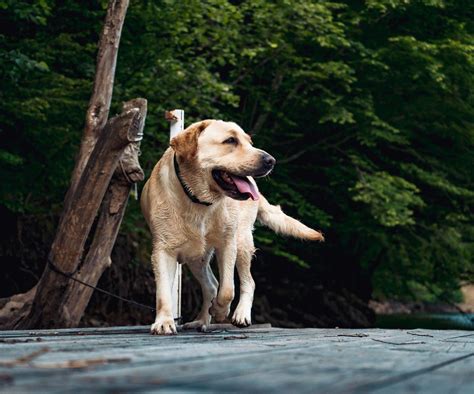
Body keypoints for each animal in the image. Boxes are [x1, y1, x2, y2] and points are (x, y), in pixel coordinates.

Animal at [141, 120, 324, 336]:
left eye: (249, 141)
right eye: (230, 140)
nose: (271, 161)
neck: (199, 201)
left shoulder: (227, 243)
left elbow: (228, 289)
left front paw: (220, 311)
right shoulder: (163, 250)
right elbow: (163, 293)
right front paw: (164, 322)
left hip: (242, 242)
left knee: (247, 282)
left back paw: (239, 314)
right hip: (197, 258)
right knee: (211, 286)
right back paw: (201, 320)